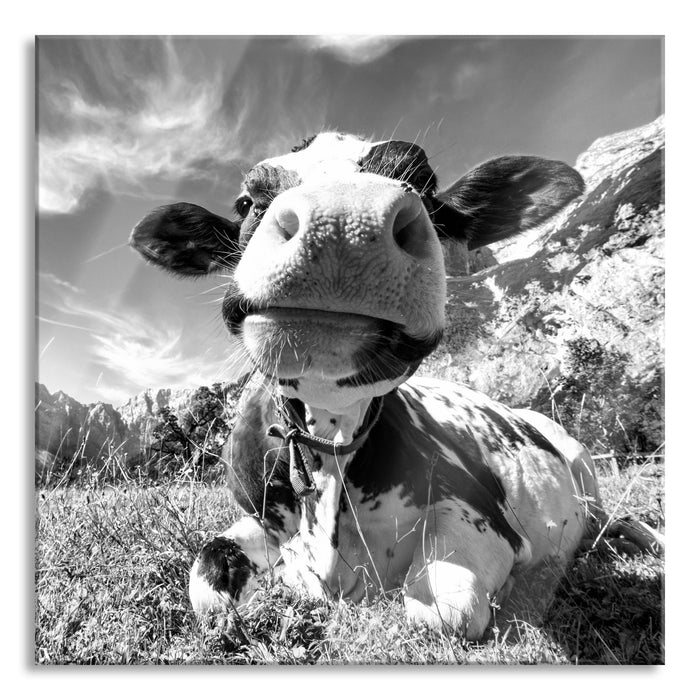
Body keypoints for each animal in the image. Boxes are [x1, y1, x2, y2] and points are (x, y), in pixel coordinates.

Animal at [130, 132, 633, 639]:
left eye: (425, 185)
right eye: (247, 201)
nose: (342, 221)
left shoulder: (482, 511)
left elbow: (444, 609)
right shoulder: (260, 517)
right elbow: (208, 579)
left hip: (581, 461)